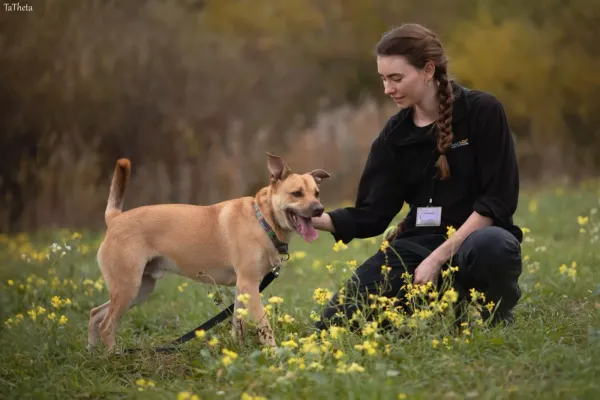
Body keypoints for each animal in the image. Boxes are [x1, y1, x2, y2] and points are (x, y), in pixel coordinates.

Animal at [87, 152, 330, 352]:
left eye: (317, 193)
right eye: (296, 193)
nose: (319, 210)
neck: (263, 220)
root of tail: (115, 219)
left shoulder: (243, 288)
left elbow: (237, 324)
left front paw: (236, 350)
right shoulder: (250, 284)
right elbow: (264, 324)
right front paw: (274, 353)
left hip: (139, 289)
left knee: (95, 314)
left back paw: (93, 354)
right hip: (128, 287)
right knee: (107, 325)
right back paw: (114, 356)